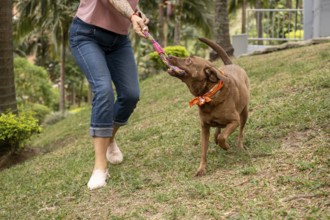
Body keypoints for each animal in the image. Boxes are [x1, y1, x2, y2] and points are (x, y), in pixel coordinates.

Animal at [169, 37, 249, 175]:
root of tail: (230, 64)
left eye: (189, 60)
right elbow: (203, 151)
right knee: (218, 130)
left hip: (244, 113)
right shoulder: (204, 128)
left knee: (240, 132)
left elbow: (223, 137)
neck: (208, 95)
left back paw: (239, 146)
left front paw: (226, 146)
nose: (168, 56)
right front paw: (201, 169)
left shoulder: (235, 121)